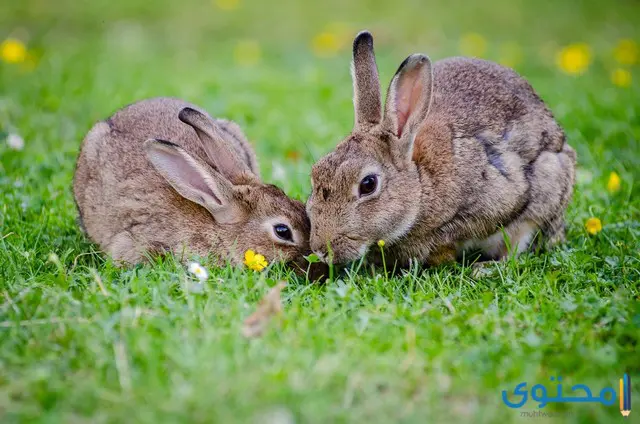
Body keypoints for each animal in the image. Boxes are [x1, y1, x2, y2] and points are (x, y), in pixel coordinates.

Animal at [304, 31, 576, 266]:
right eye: (315, 174)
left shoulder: (499, 198)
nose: (321, 249)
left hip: (548, 184)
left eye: (368, 184)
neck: (421, 184)